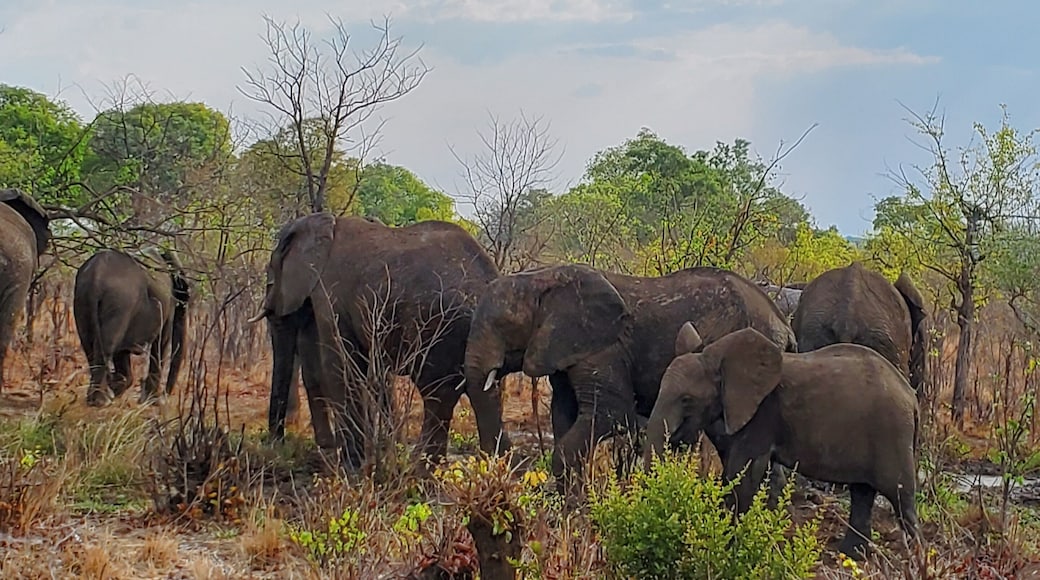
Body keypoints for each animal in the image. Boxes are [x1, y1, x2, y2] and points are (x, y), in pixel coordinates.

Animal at [73, 248, 190, 406]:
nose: (165, 397)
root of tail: (96, 276)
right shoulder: (168, 302)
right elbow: (161, 341)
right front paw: (152, 401)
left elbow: (123, 352)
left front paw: (119, 386)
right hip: (120, 302)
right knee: (107, 345)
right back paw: (101, 401)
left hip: (82, 300)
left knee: (89, 344)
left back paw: (97, 398)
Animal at [248, 213, 511, 468]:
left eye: (271, 278)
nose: (276, 445)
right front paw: (339, 452)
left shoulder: (330, 293)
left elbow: (338, 368)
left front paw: (351, 465)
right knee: (480, 392)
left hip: (441, 326)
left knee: (439, 394)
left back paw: (421, 467)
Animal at [465, 263, 796, 491]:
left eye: (504, 325)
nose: (507, 462)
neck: (541, 277)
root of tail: (783, 325)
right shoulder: (563, 350)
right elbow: (563, 413)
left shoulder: (605, 347)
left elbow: (611, 414)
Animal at [645, 324, 919, 558]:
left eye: (686, 400)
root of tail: (912, 396)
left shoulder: (763, 414)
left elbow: (742, 472)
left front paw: (732, 545)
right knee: (862, 492)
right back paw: (851, 555)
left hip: (892, 432)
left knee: (901, 496)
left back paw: (915, 556)